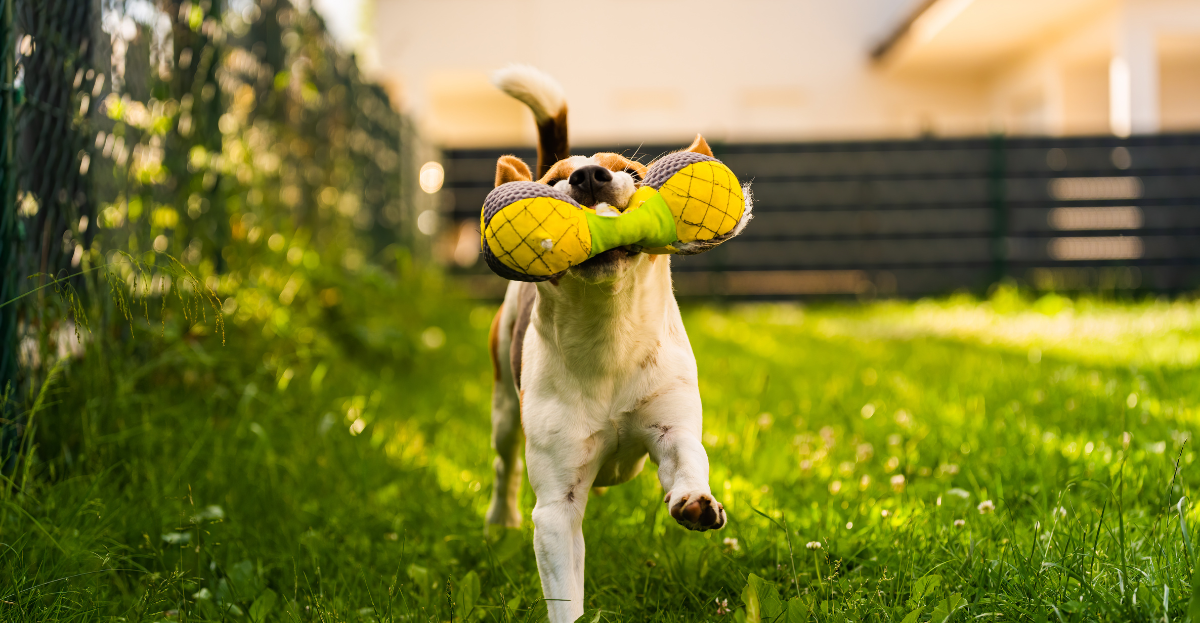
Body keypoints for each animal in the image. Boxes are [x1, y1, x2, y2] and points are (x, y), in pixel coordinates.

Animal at [480, 64, 748, 623]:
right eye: (552, 183)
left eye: (631, 171)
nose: (586, 177)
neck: (610, 337)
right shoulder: (557, 507)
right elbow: (565, 589)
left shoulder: (670, 425)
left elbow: (687, 457)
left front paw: (696, 499)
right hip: (502, 410)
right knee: (502, 465)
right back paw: (499, 519)